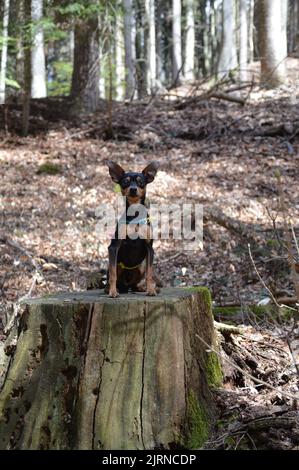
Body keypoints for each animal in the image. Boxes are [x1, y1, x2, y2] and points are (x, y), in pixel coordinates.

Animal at [106, 160, 161, 296]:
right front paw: (113, 292)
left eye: (141, 182)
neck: (135, 213)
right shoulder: (113, 248)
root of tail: (126, 287)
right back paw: (112, 289)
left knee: (135, 284)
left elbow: (149, 274)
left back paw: (142, 288)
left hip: (141, 266)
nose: (133, 189)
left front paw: (151, 290)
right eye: (125, 182)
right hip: (118, 264)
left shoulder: (150, 248)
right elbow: (113, 275)